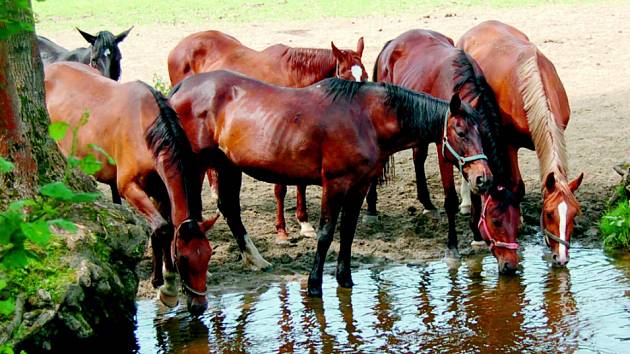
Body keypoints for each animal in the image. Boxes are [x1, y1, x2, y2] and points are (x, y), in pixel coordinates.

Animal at [44, 62, 217, 314]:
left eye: (208, 255)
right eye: (184, 260)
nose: (199, 306)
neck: (146, 129)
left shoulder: (160, 192)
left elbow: (161, 229)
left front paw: (161, 279)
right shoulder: (129, 187)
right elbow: (163, 228)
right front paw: (168, 288)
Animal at [168, 31, 370, 243]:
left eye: (365, 76)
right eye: (345, 76)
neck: (294, 76)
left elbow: (301, 183)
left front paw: (304, 223)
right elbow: (281, 189)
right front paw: (281, 230)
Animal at [168, 69, 494, 296]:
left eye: (481, 130)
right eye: (461, 133)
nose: (483, 178)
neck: (367, 117)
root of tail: (181, 88)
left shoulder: (360, 186)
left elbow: (347, 231)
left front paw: (345, 279)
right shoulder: (334, 184)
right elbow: (326, 233)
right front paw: (315, 285)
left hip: (227, 165)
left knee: (230, 209)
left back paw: (255, 259)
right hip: (196, 168)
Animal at [372, 29, 520, 272]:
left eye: (517, 220)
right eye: (496, 221)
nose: (510, 265)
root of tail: (393, 42)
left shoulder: (475, 166)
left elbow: (476, 196)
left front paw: (476, 235)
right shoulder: (446, 155)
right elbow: (450, 200)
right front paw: (452, 247)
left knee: (418, 157)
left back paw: (427, 203)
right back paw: (371, 209)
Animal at [456, 20, 584, 266]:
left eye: (575, 213)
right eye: (549, 214)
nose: (562, 258)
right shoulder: (509, 144)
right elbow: (516, 185)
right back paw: (466, 203)